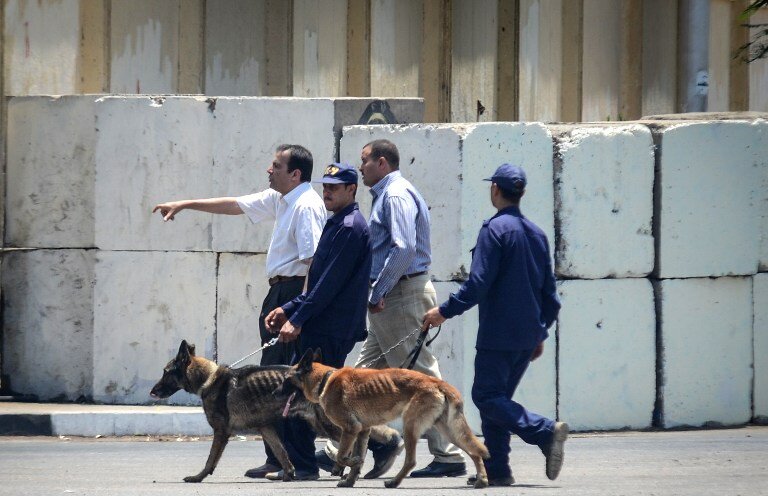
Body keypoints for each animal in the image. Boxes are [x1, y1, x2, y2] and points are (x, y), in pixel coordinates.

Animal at [151, 340, 402, 482]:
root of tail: (331, 375)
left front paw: (198, 477)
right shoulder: (267, 428)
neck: (209, 379)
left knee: (359, 438)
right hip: (323, 424)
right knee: (362, 437)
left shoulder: (221, 432)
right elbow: (282, 453)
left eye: (165, 372)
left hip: (328, 424)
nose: (152, 392)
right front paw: (289, 474)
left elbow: (210, 460)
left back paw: (357, 465)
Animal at [280, 348, 488, 488]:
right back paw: (481, 480)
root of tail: (437, 382)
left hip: (410, 426)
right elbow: (355, 457)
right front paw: (350, 480)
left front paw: (352, 464)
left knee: (411, 461)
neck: (325, 379)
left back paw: (394, 482)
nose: (274, 392)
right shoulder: (362, 431)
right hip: (449, 431)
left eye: (285, 380)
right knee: (474, 452)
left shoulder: (350, 429)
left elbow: (342, 456)